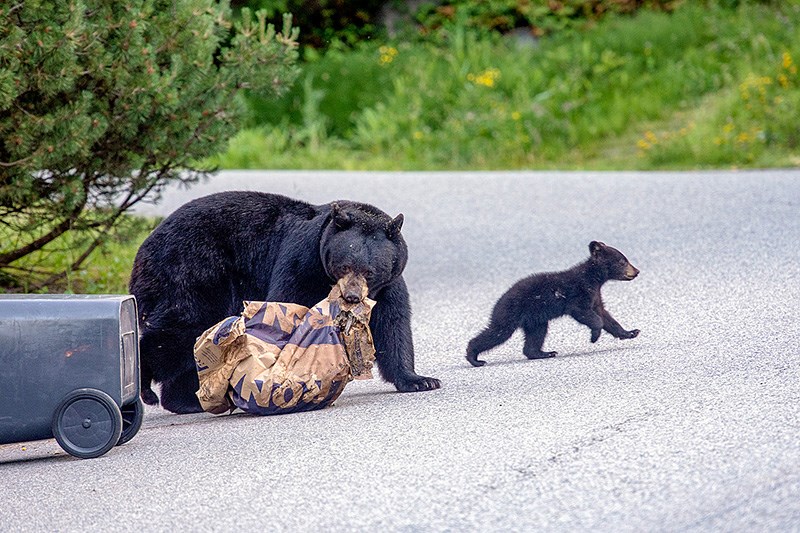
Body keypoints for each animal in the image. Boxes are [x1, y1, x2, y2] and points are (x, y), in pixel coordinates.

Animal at [132, 190, 444, 412]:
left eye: (370, 270)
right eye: (345, 265)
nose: (352, 296)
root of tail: (143, 250)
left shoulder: (388, 285)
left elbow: (393, 327)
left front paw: (420, 380)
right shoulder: (301, 262)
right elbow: (285, 307)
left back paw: (186, 401)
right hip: (193, 271)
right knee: (182, 327)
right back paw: (146, 387)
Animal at [466, 241, 640, 366]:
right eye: (622, 261)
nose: (637, 271)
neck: (594, 278)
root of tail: (498, 301)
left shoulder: (595, 296)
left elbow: (605, 316)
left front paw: (630, 332)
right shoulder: (580, 292)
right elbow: (585, 313)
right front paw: (594, 336)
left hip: (535, 319)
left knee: (536, 335)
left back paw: (544, 353)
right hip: (510, 313)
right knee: (498, 332)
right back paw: (474, 357)